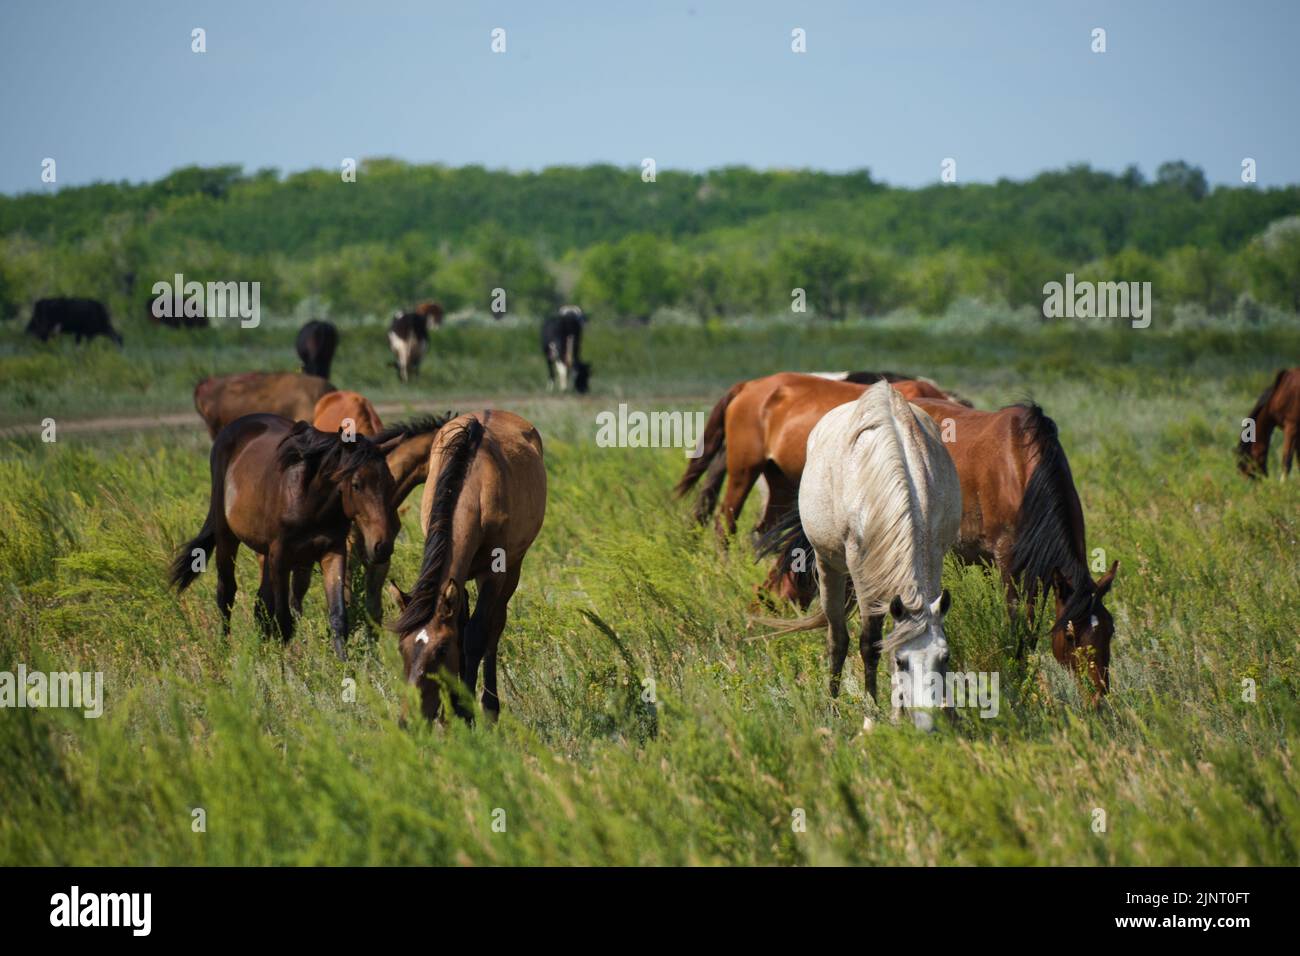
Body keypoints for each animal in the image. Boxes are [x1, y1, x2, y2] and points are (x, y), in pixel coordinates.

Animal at [169, 415, 401, 659]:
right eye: (356, 485)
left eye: (390, 482)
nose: (383, 546)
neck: (310, 499)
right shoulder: (280, 556)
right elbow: (284, 621)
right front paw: (286, 665)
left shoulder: (333, 551)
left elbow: (337, 616)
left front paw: (343, 664)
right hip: (227, 538)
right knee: (226, 593)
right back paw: (224, 652)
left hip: (266, 554)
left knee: (260, 603)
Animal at [389, 411, 547, 723]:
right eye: (402, 647)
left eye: (440, 651)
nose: (409, 721)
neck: (475, 489)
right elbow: (460, 629)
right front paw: (450, 708)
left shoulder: (494, 573)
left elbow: (475, 635)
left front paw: (464, 711)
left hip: (513, 567)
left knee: (495, 626)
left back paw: (490, 706)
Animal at [759, 382, 962, 732]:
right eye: (901, 661)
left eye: (944, 657)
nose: (925, 723)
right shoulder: (862, 572)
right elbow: (870, 643)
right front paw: (873, 715)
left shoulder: (933, 557)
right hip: (830, 567)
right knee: (837, 638)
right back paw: (833, 706)